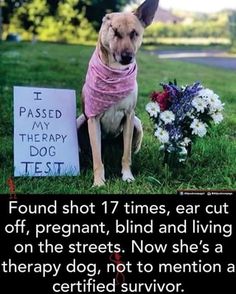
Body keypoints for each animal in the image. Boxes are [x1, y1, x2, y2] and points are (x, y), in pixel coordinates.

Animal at [77, 0, 160, 186]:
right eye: (114, 31)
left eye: (134, 33)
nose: (127, 57)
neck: (115, 73)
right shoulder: (92, 119)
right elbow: (97, 157)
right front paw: (98, 182)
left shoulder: (129, 116)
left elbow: (126, 154)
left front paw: (127, 176)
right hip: (79, 121)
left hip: (137, 124)